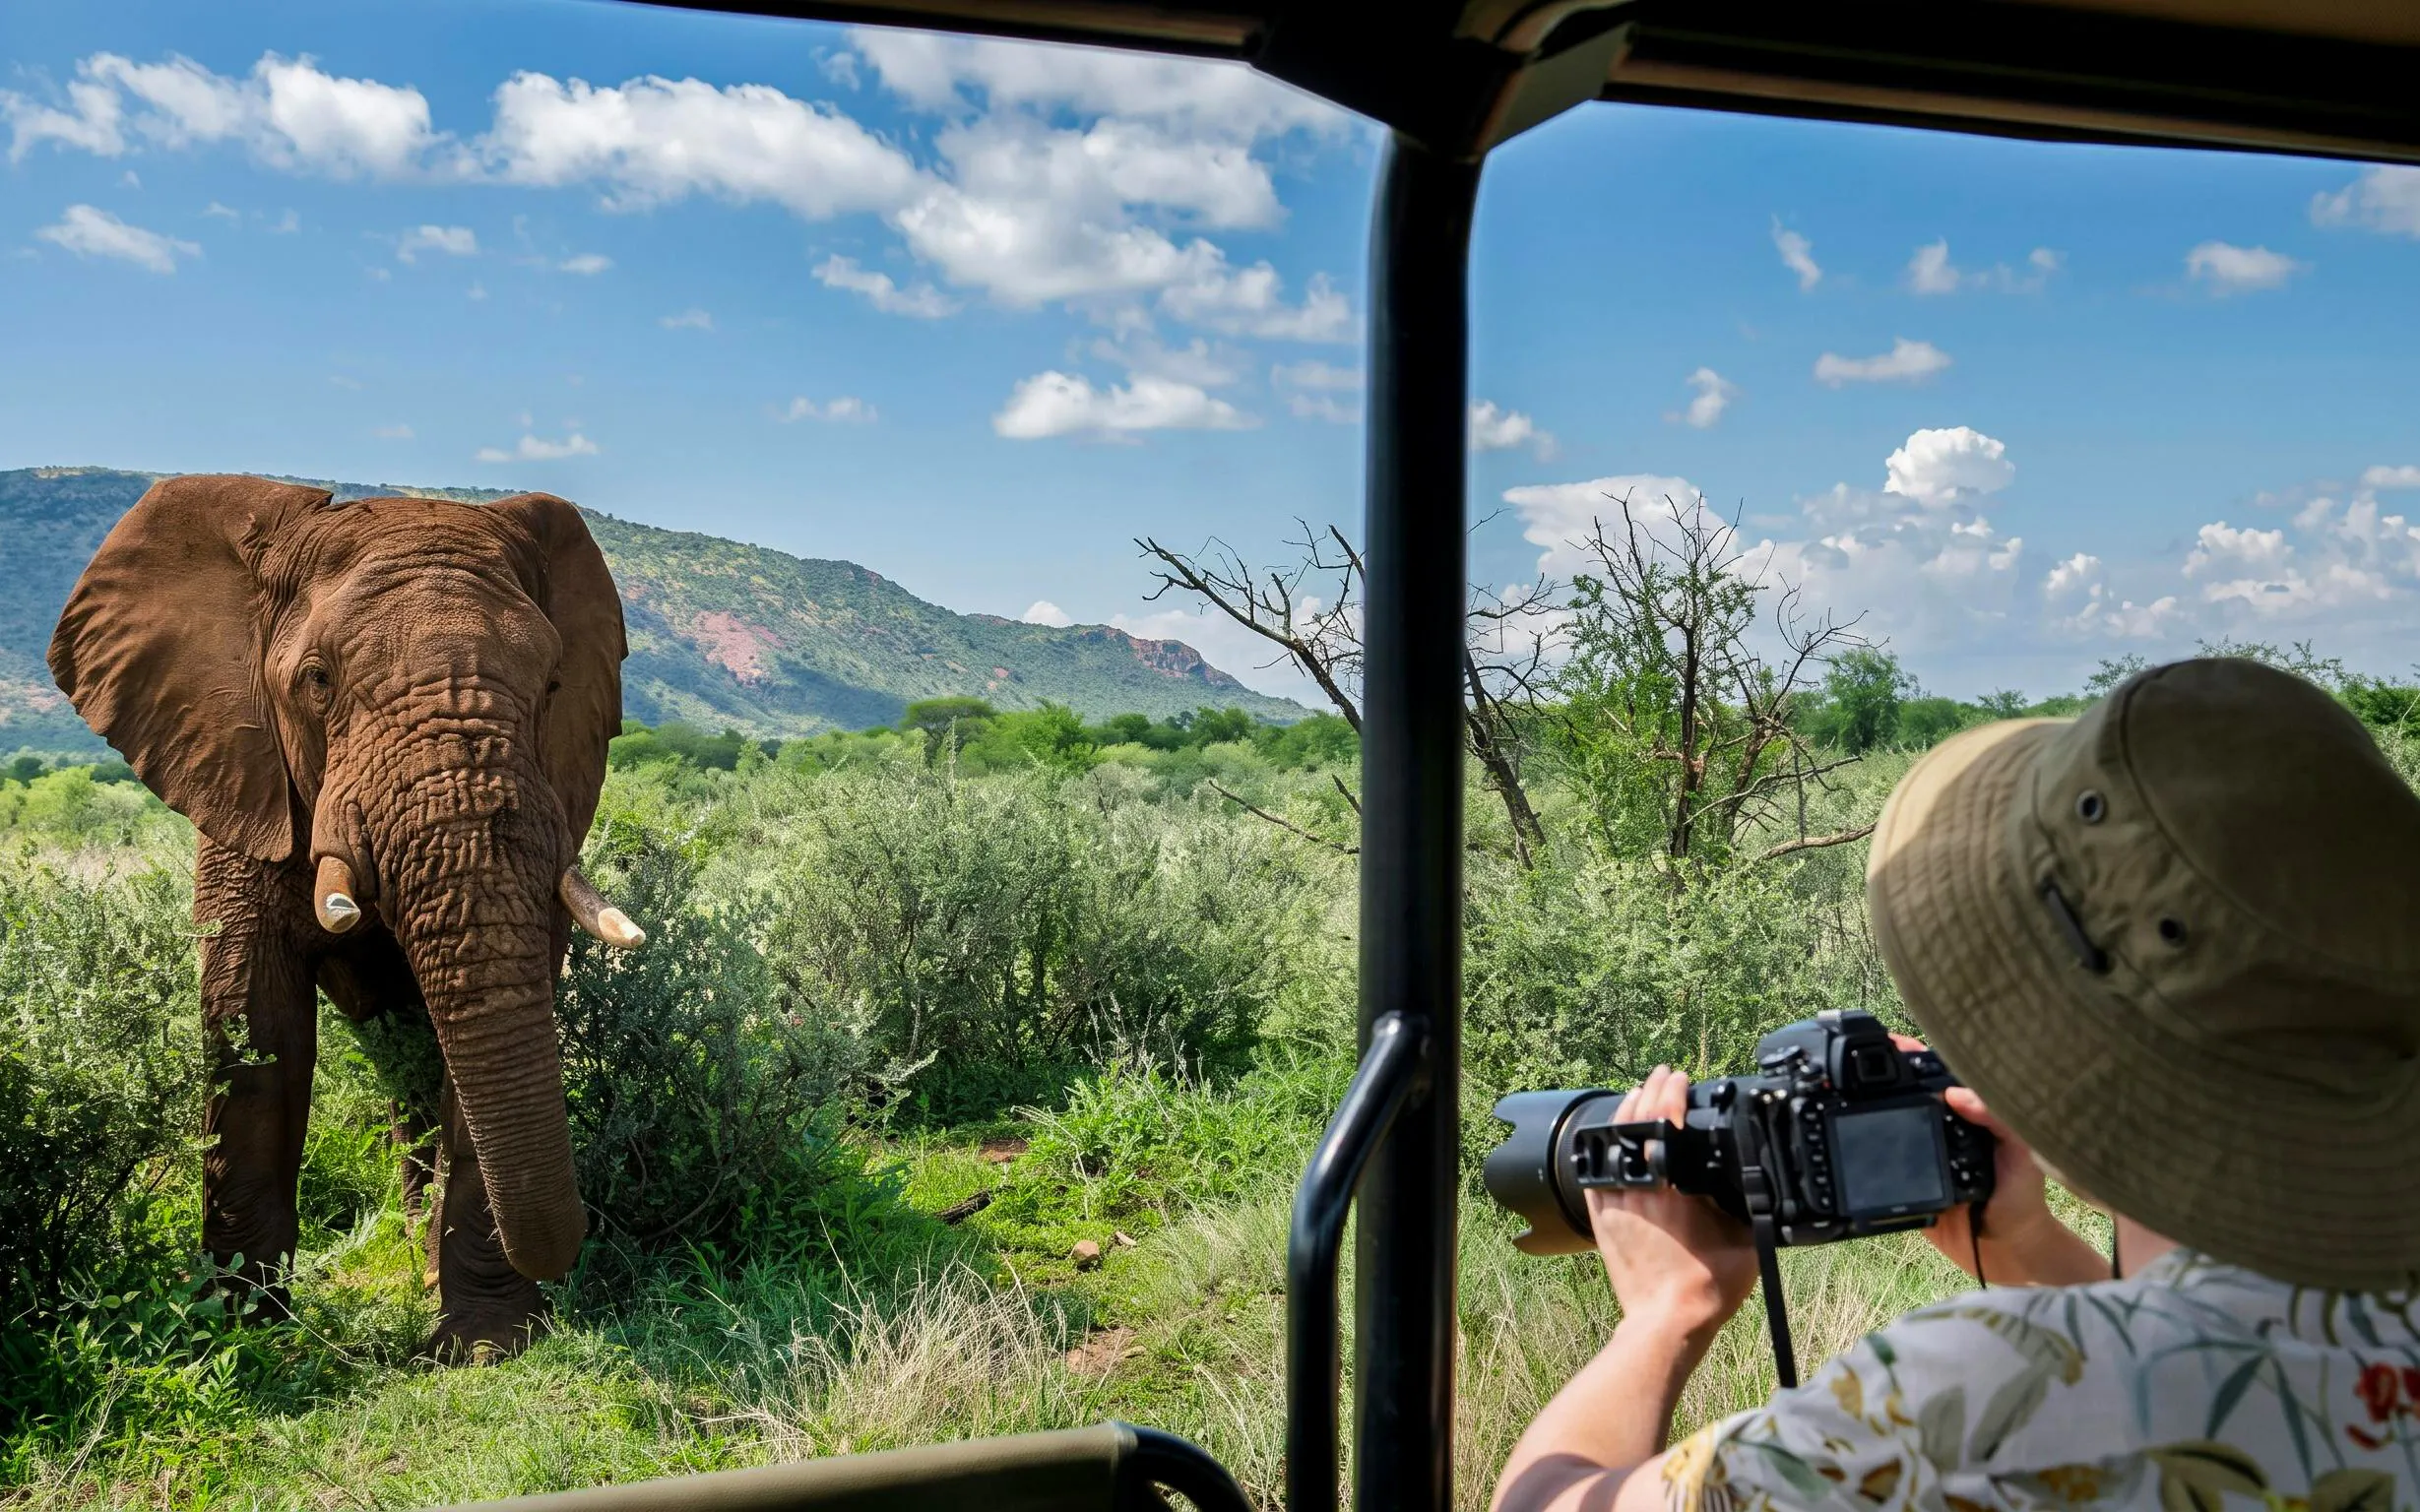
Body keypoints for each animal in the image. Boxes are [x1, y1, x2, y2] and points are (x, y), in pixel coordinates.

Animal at [47, 474, 645, 1358]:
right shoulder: (242, 777)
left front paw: (485, 1344)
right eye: (317, 680)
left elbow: (506, 1006)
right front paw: (248, 1334)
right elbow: (257, 1026)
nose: (571, 1250)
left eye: (551, 687)